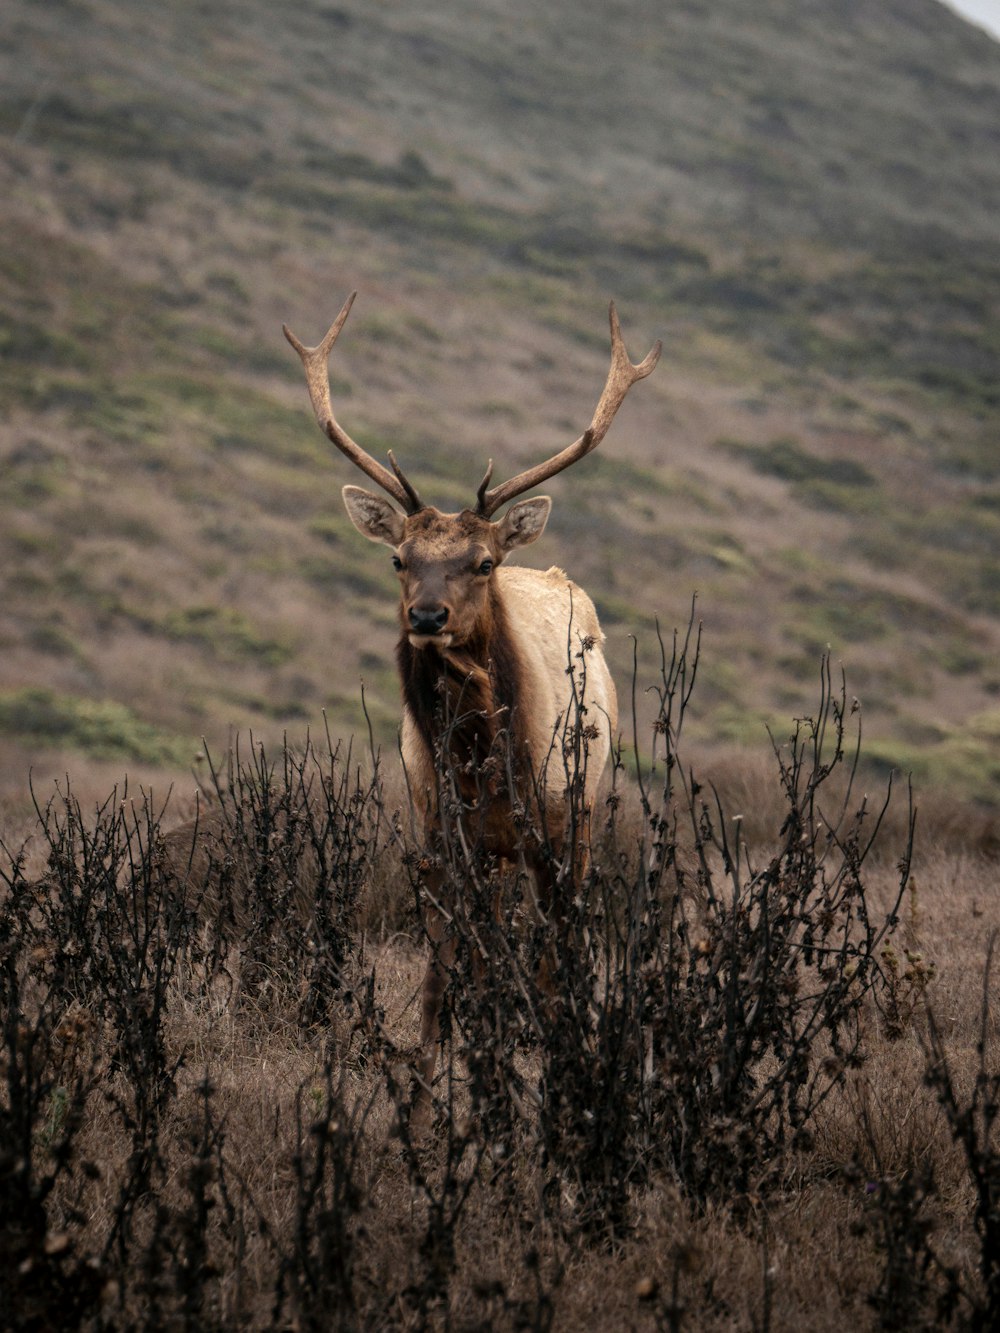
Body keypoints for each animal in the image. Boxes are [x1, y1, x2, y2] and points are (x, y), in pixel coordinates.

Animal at [284, 294, 658, 1114]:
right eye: (400, 558)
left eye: (482, 561)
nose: (427, 616)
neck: (483, 764)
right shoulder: (442, 842)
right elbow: (443, 974)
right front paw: (430, 1098)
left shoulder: (555, 830)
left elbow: (551, 963)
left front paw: (555, 1082)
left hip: (583, 816)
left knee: (560, 947)